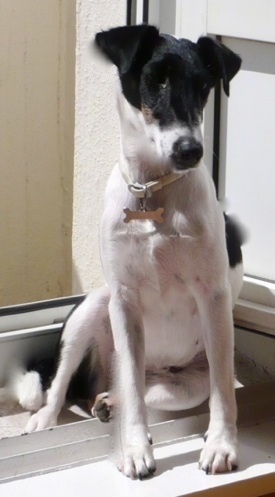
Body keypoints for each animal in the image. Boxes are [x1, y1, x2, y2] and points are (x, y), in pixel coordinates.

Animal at [9, 25, 244, 478]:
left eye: (204, 85)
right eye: (156, 79)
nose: (190, 150)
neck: (152, 191)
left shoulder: (214, 296)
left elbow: (223, 392)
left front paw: (221, 445)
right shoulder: (124, 298)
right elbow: (133, 392)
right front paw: (134, 449)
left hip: (186, 383)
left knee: (145, 392)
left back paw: (106, 402)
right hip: (91, 310)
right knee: (64, 386)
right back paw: (47, 420)